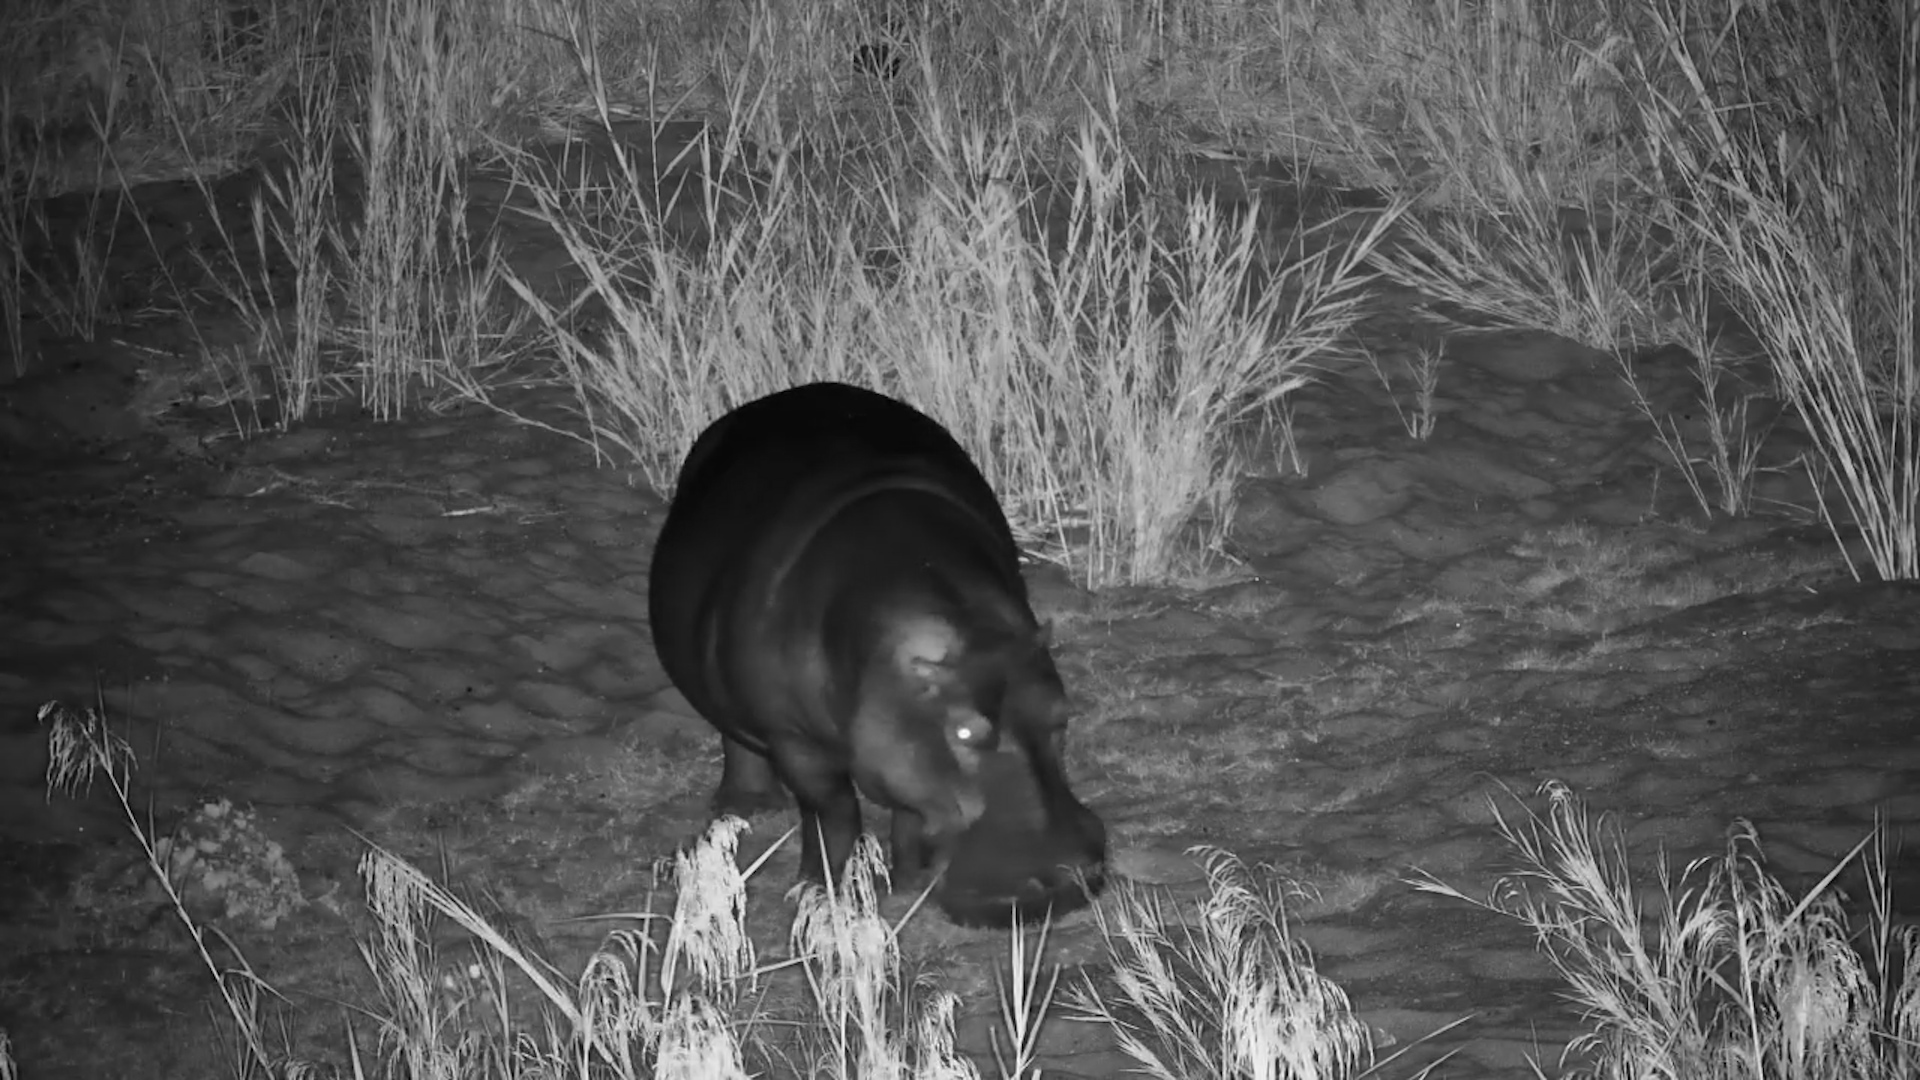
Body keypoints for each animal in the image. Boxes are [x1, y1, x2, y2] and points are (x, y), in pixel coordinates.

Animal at [647, 382, 1107, 925]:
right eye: (965, 730)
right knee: (735, 736)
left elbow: (908, 807)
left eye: (1063, 712)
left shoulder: (898, 740)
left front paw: (906, 879)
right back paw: (745, 806)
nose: (1063, 874)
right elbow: (834, 812)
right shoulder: (796, 740)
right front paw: (821, 892)